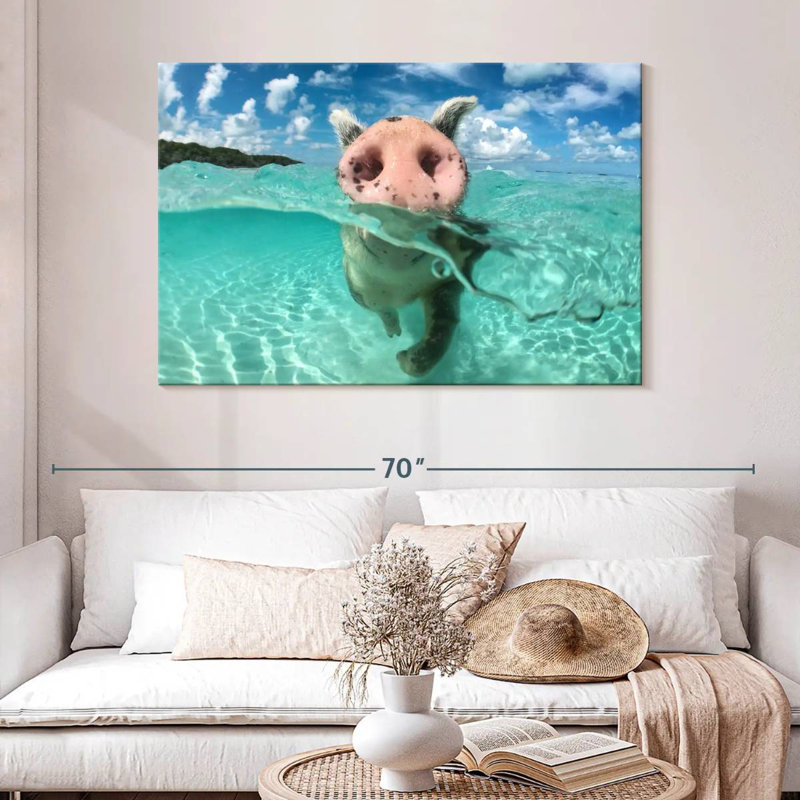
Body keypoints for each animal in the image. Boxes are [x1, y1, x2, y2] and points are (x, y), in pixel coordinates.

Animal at [329, 97, 487, 378]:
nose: (400, 129)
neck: (401, 285)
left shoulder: (450, 277)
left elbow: (444, 323)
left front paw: (402, 359)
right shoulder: (355, 283)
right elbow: (381, 309)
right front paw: (395, 336)